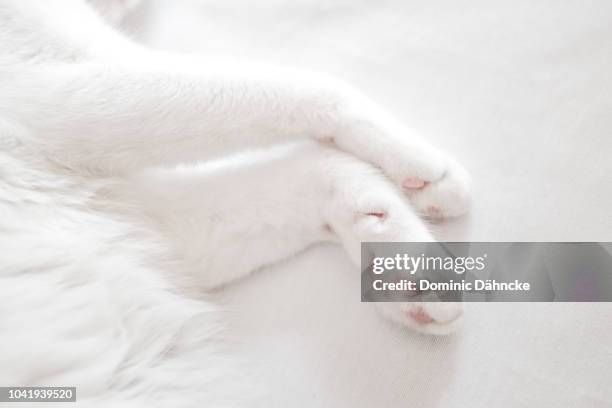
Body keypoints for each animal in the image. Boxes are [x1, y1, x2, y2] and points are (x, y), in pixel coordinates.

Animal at [0, 1, 470, 406]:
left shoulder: (150, 224)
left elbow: (314, 172)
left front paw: (405, 262)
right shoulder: (62, 84)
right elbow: (312, 88)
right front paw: (428, 168)